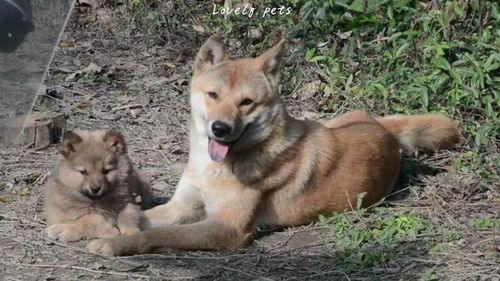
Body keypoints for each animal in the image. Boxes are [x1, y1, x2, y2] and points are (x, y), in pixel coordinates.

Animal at [88, 36, 458, 255]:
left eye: (247, 102)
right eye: (213, 95)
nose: (220, 128)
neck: (216, 167)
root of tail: (384, 130)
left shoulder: (227, 230)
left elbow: (161, 235)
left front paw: (118, 242)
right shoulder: (180, 207)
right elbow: (138, 215)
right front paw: (116, 226)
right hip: (330, 121)